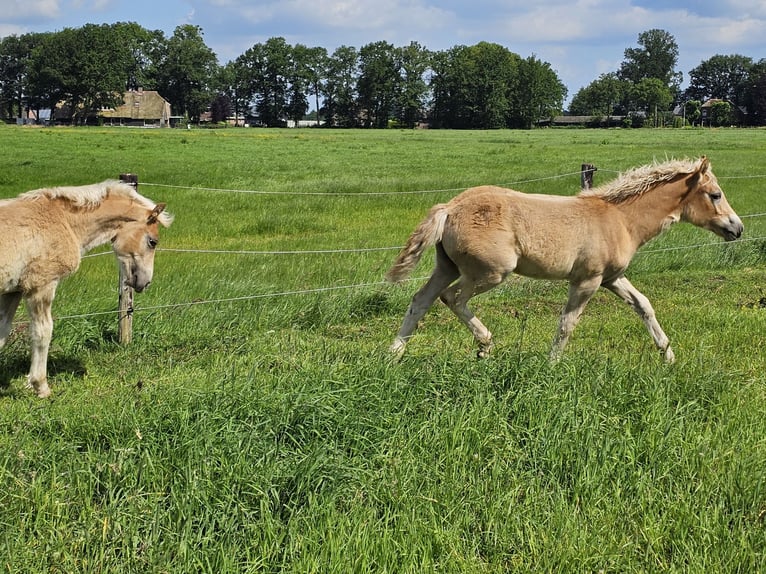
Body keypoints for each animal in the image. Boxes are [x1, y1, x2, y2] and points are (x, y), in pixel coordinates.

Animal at [0, 182, 171, 398]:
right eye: (152, 242)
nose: (145, 282)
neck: (64, 221)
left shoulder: (13, 291)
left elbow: (2, 331)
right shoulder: (41, 286)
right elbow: (43, 332)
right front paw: (41, 386)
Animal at [390, 158, 744, 364]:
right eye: (715, 195)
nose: (737, 228)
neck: (620, 219)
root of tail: (450, 207)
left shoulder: (612, 278)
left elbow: (644, 305)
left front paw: (668, 355)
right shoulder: (587, 281)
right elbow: (567, 324)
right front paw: (552, 365)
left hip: (446, 266)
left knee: (420, 300)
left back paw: (393, 355)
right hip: (490, 272)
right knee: (452, 297)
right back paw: (486, 346)